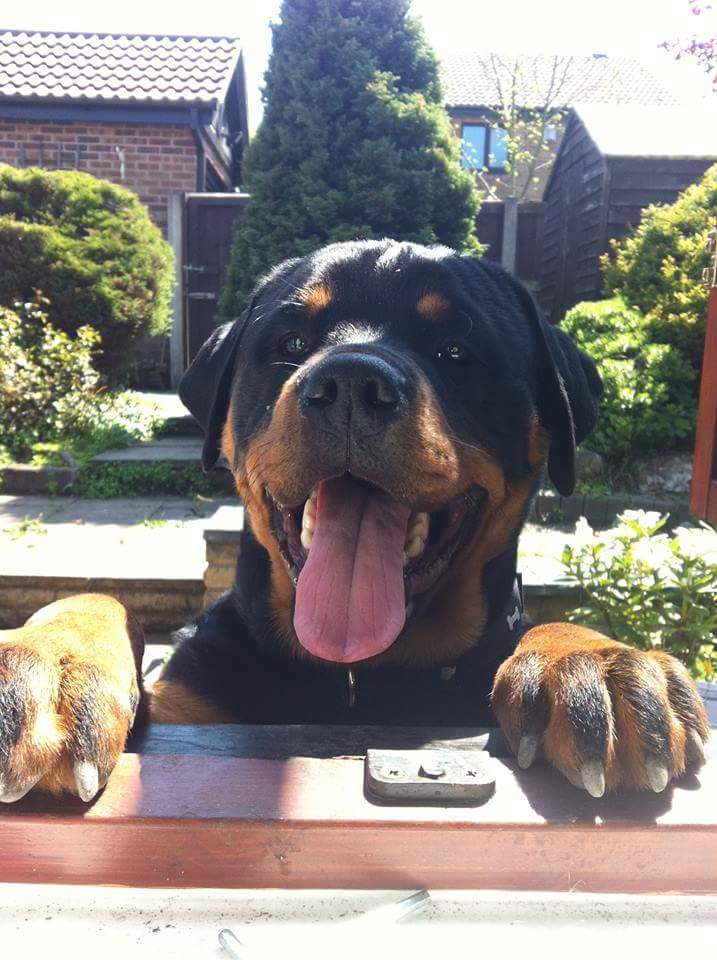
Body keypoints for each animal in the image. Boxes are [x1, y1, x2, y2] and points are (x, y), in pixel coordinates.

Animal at [0, 240, 704, 804]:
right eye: (290, 344)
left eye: (455, 349)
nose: (348, 383)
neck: (354, 678)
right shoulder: (189, 703)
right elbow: (100, 601)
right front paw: (53, 663)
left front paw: (596, 665)